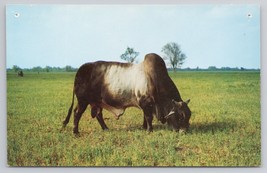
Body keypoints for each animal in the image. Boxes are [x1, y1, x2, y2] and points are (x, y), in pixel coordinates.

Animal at [63, 53, 191, 134]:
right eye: (180, 116)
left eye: (189, 115)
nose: (184, 131)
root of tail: (81, 70)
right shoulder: (145, 103)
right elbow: (148, 117)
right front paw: (149, 130)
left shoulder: (146, 105)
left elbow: (145, 117)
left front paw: (144, 128)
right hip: (82, 101)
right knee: (77, 113)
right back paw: (75, 132)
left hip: (97, 102)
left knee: (99, 115)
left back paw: (106, 128)